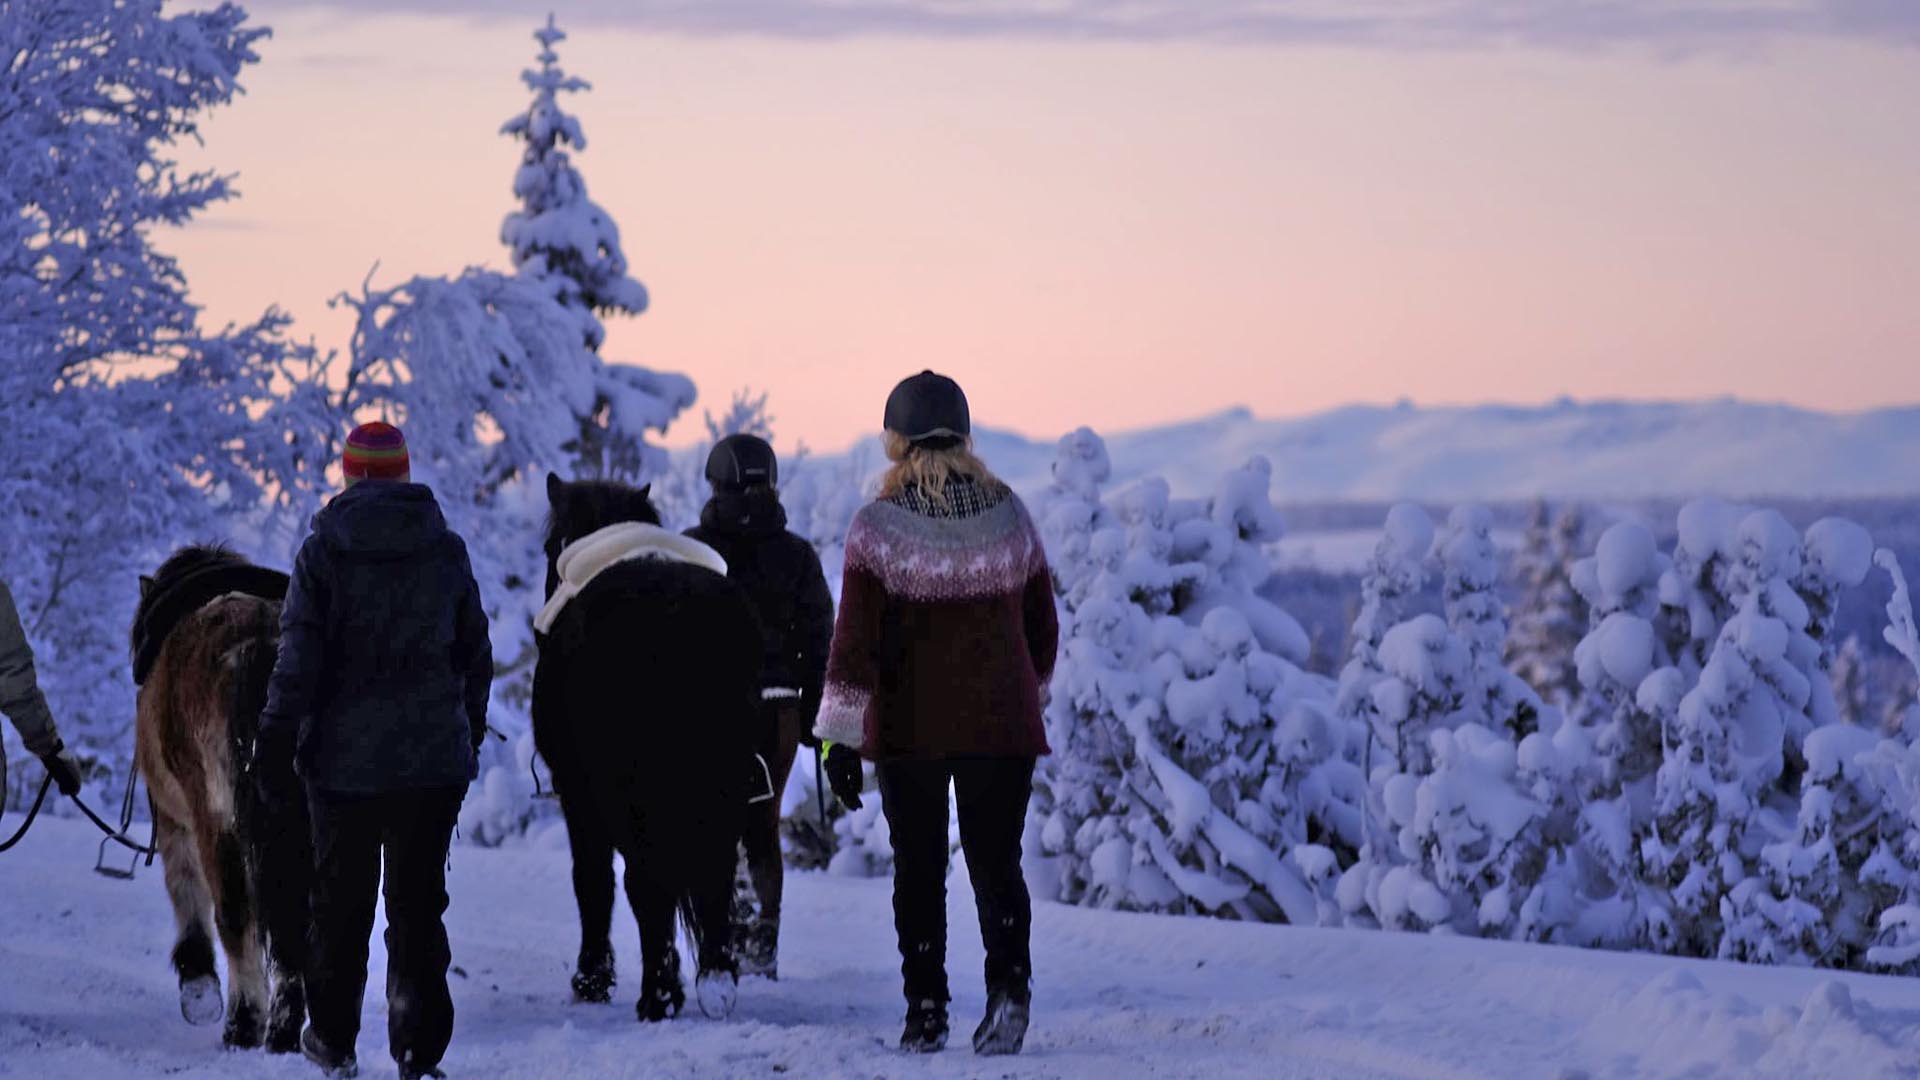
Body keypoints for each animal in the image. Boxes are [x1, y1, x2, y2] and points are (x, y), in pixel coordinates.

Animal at [131, 541, 307, 1045]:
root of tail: (260, 642)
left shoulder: (176, 819)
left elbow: (186, 889)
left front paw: (198, 988)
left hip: (217, 821)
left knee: (235, 914)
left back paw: (243, 1022)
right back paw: (284, 1025)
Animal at [537, 472, 768, 1014]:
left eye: (550, 546)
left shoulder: (578, 797)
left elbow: (592, 881)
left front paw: (593, 979)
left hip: (629, 793)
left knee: (644, 881)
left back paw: (658, 994)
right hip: (723, 783)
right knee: (717, 873)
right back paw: (714, 979)